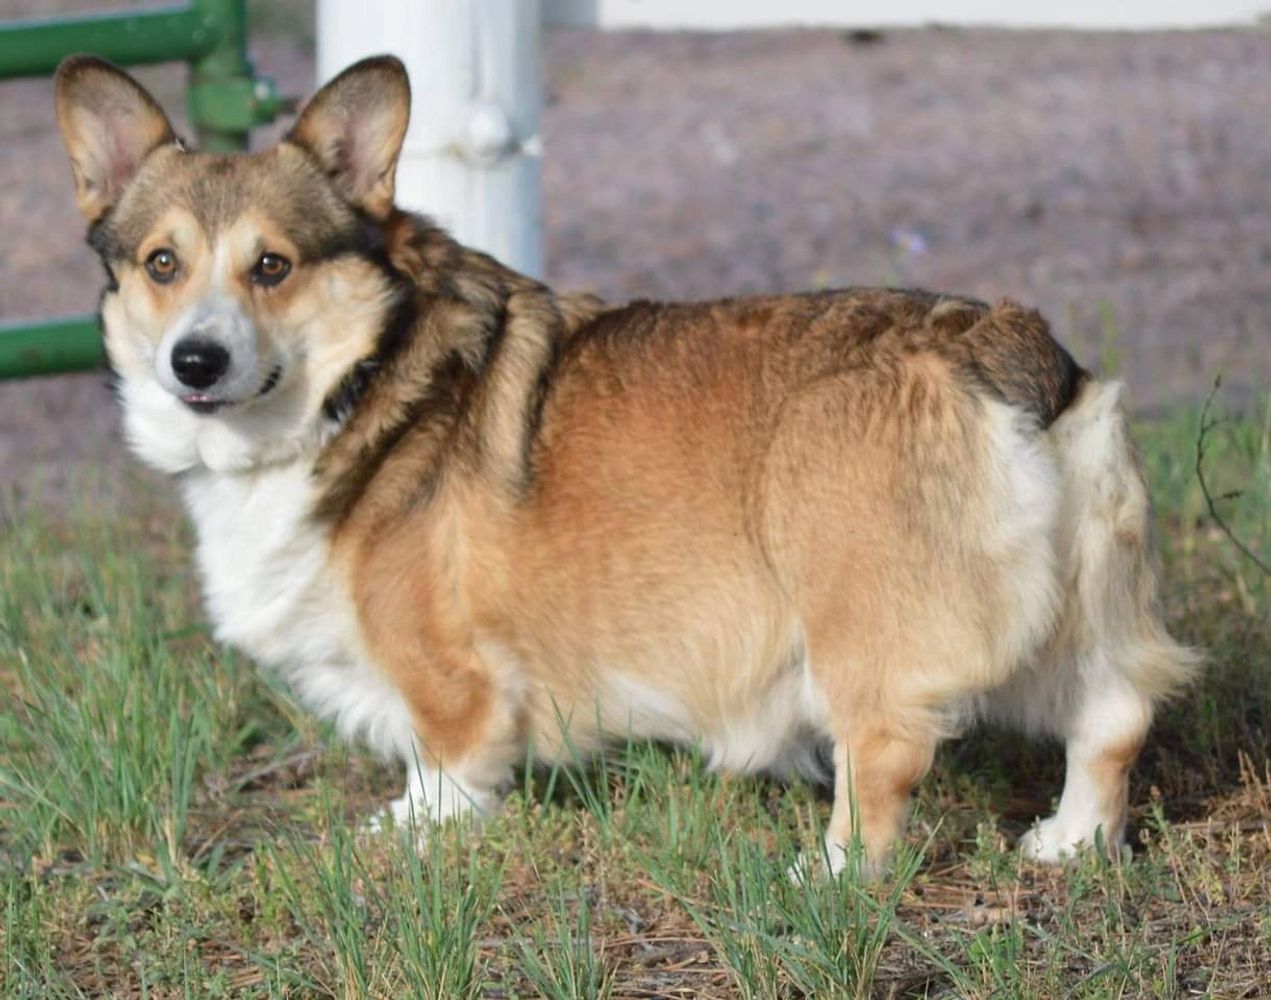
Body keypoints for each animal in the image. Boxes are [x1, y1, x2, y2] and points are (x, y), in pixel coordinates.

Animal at [54, 54, 1194, 874]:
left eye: (272, 266)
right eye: (161, 263)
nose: (195, 361)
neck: (361, 376)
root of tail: (1002, 343)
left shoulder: (445, 669)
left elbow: (446, 760)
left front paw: (416, 835)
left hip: (858, 625)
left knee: (882, 759)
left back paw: (827, 880)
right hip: (1079, 606)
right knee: (1110, 718)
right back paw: (1069, 846)